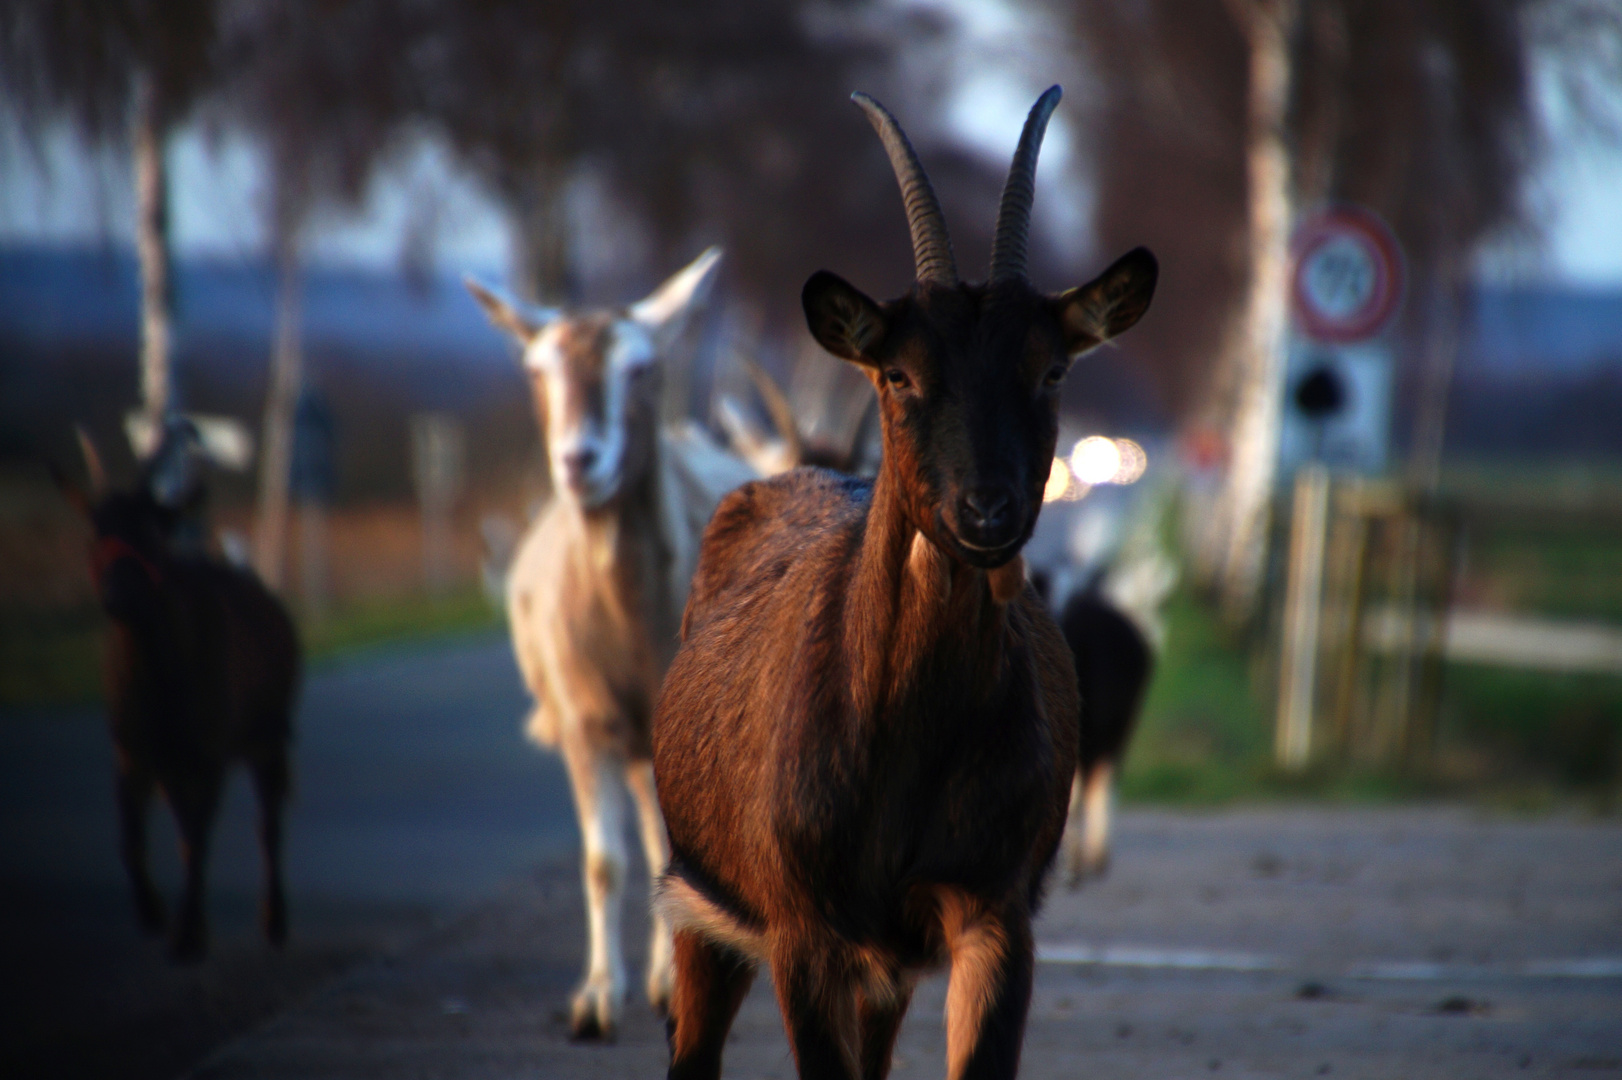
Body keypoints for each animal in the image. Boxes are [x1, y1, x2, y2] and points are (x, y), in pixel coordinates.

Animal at [60, 431, 301, 960]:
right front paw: (154, 915)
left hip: (270, 730)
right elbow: (132, 838)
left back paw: (274, 920)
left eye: (152, 531)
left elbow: (197, 838)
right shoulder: (131, 748)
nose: (119, 595)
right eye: (93, 532)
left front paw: (188, 934)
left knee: (268, 821)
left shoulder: (208, 749)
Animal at [645, 86, 1154, 1076]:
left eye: (1052, 368)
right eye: (897, 373)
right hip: (701, 907)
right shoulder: (804, 933)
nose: (987, 511)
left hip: (883, 970)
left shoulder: (989, 912)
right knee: (693, 1048)